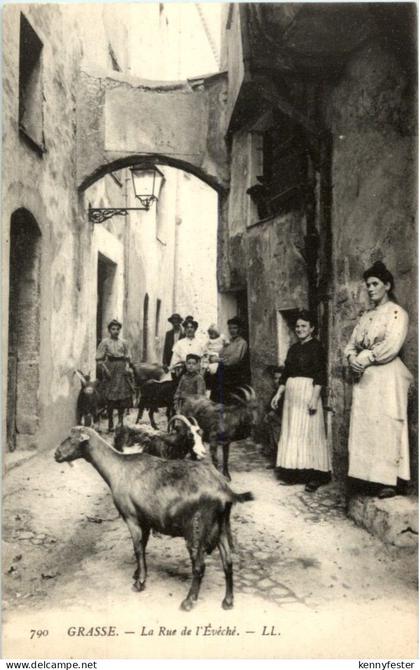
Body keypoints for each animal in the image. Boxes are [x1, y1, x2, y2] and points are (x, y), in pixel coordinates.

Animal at [55, 426, 253, 611]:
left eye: (72, 438)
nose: (56, 454)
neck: (118, 468)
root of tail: (224, 490)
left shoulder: (132, 518)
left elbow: (137, 549)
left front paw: (139, 583)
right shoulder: (146, 520)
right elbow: (143, 546)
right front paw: (137, 573)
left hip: (196, 530)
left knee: (199, 566)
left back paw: (189, 601)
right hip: (221, 527)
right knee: (228, 562)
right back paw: (228, 601)